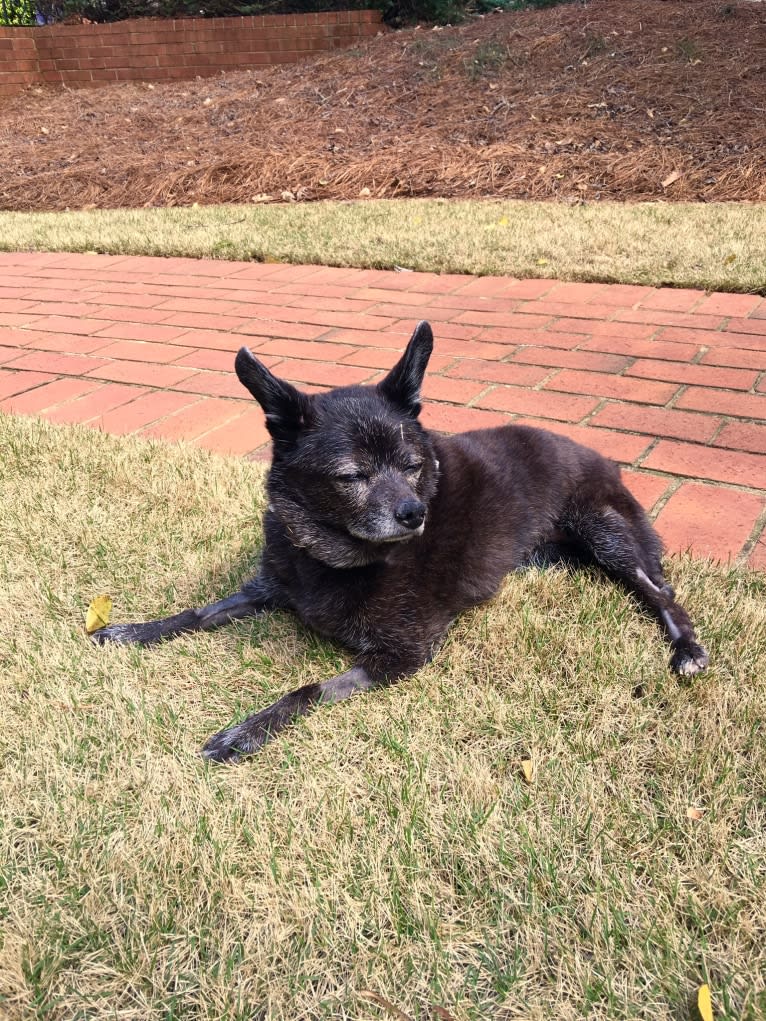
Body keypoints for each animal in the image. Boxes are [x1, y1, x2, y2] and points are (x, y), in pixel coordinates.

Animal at [94, 318, 706, 759]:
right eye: (351, 475)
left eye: (413, 466)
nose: (416, 515)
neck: (336, 557)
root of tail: (601, 455)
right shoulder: (266, 589)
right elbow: (198, 612)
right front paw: (131, 630)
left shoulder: (402, 656)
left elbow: (306, 689)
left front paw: (245, 731)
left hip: (605, 532)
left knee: (659, 590)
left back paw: (687, 648)